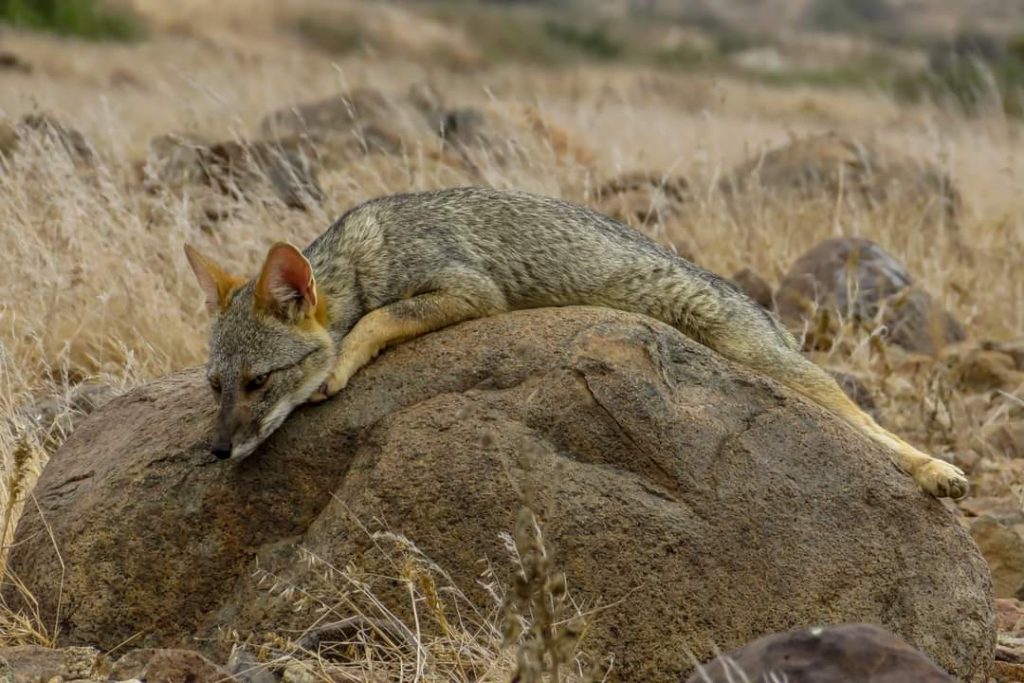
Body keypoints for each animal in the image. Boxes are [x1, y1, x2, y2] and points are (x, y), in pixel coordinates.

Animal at [186, 184, 966, 499]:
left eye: (260, 381)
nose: (217, 452)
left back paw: (935, 471)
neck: (358, 259)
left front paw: (338, 367)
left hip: (759, 355)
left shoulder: (470, 291)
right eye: (216, 385)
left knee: (864, 422)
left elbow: (379, 321)